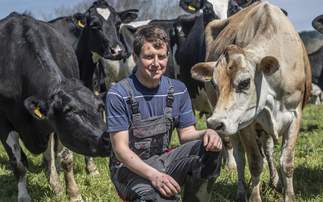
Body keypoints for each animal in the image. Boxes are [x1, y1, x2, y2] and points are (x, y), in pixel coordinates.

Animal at [0, 12, 110, 202]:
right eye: (68, 111)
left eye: (100, 107)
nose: (109, 139)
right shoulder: (3, 122)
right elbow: (19, 163)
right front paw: (24, 196)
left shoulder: (56, 127)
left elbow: (65, 158)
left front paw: (73, 193)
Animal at [191, 1, 312, 202]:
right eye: (214, 84)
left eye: (245, 82)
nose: (214, 124)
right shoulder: (246, 123)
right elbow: (255, 161)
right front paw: (254, 197)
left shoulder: (295, 115)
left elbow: (286, 161)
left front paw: (289, 195)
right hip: (233, 128)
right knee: (239, 155)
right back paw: (241, 192)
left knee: (269, 150)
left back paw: (276, 182)